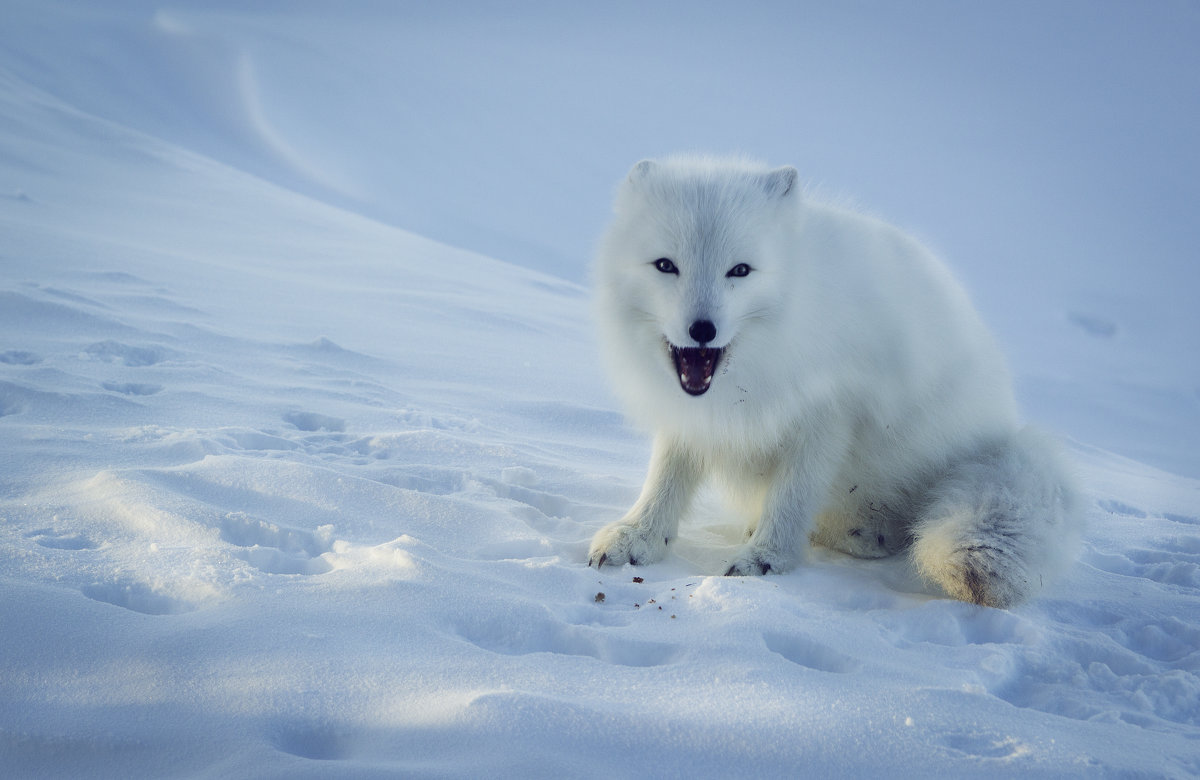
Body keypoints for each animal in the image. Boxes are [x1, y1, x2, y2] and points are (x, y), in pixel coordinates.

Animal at [585, 154, 1084, 607]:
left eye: (740, 271)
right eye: (665, 265)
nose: (702, 330)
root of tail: (1004, 430)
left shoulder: (829, 413)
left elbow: (793, 495)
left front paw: (766, 558)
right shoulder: (691, 416)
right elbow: (665, 480)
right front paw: (639, 536)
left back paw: (865, 533)